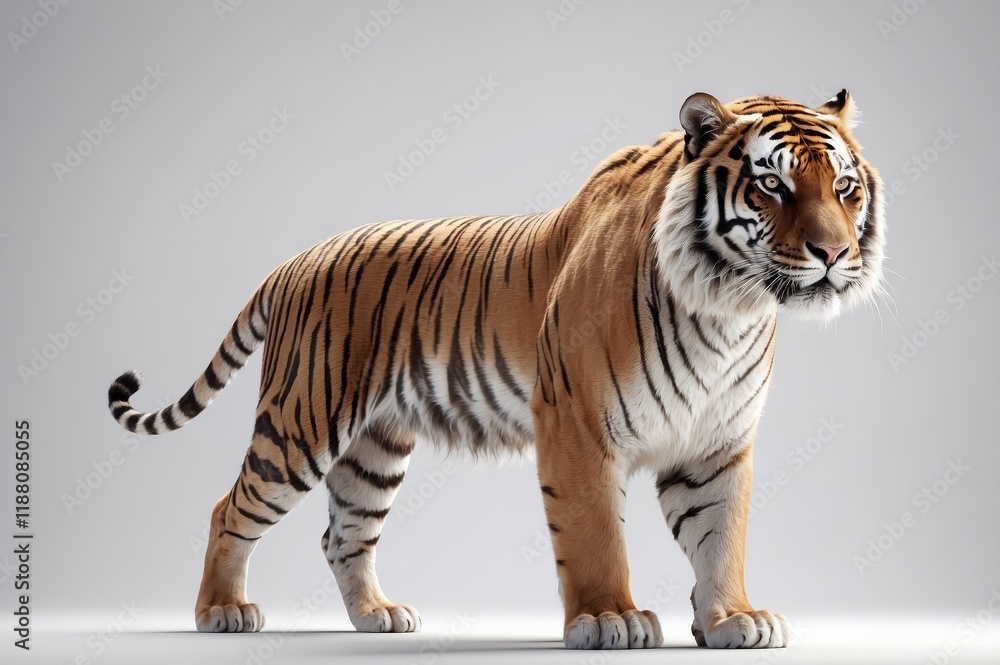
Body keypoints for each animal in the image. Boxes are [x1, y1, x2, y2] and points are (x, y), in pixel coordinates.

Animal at [107, 90, 885, 649]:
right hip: (302, 423)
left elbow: (722, 536)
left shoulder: (717, 441)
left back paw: (377, 615)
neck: (730, 306)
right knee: (229, 508)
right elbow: (596, 534)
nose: (832, 253)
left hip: (373, 449)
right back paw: (222, 611)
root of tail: (295, 260)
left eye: (845, 188)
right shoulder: (577, 426)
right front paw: (611, 619)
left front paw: (731, 620)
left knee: (343, 532)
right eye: (773, 187)